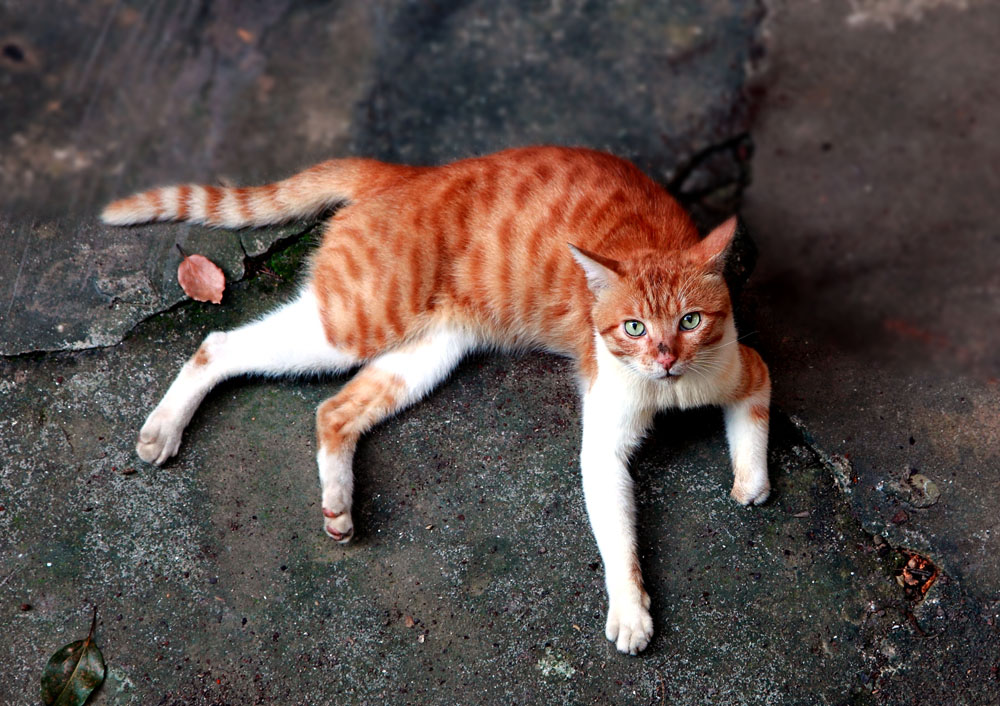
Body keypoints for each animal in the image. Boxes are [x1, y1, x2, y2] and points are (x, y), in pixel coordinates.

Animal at [101, 144, 768, 656]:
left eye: (689, 320)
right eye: (633, 327)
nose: (665, 358)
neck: (670, 390)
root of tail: (405, 172)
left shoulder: (744, 369)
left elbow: (752, 426)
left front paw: (749, 481)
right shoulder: (603, 448)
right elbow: (620, 543)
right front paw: (631, 611)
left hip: (424, 356)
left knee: (332, 410)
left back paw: (338, 505)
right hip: (349, 325)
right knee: (217, 344)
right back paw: (165, 426)